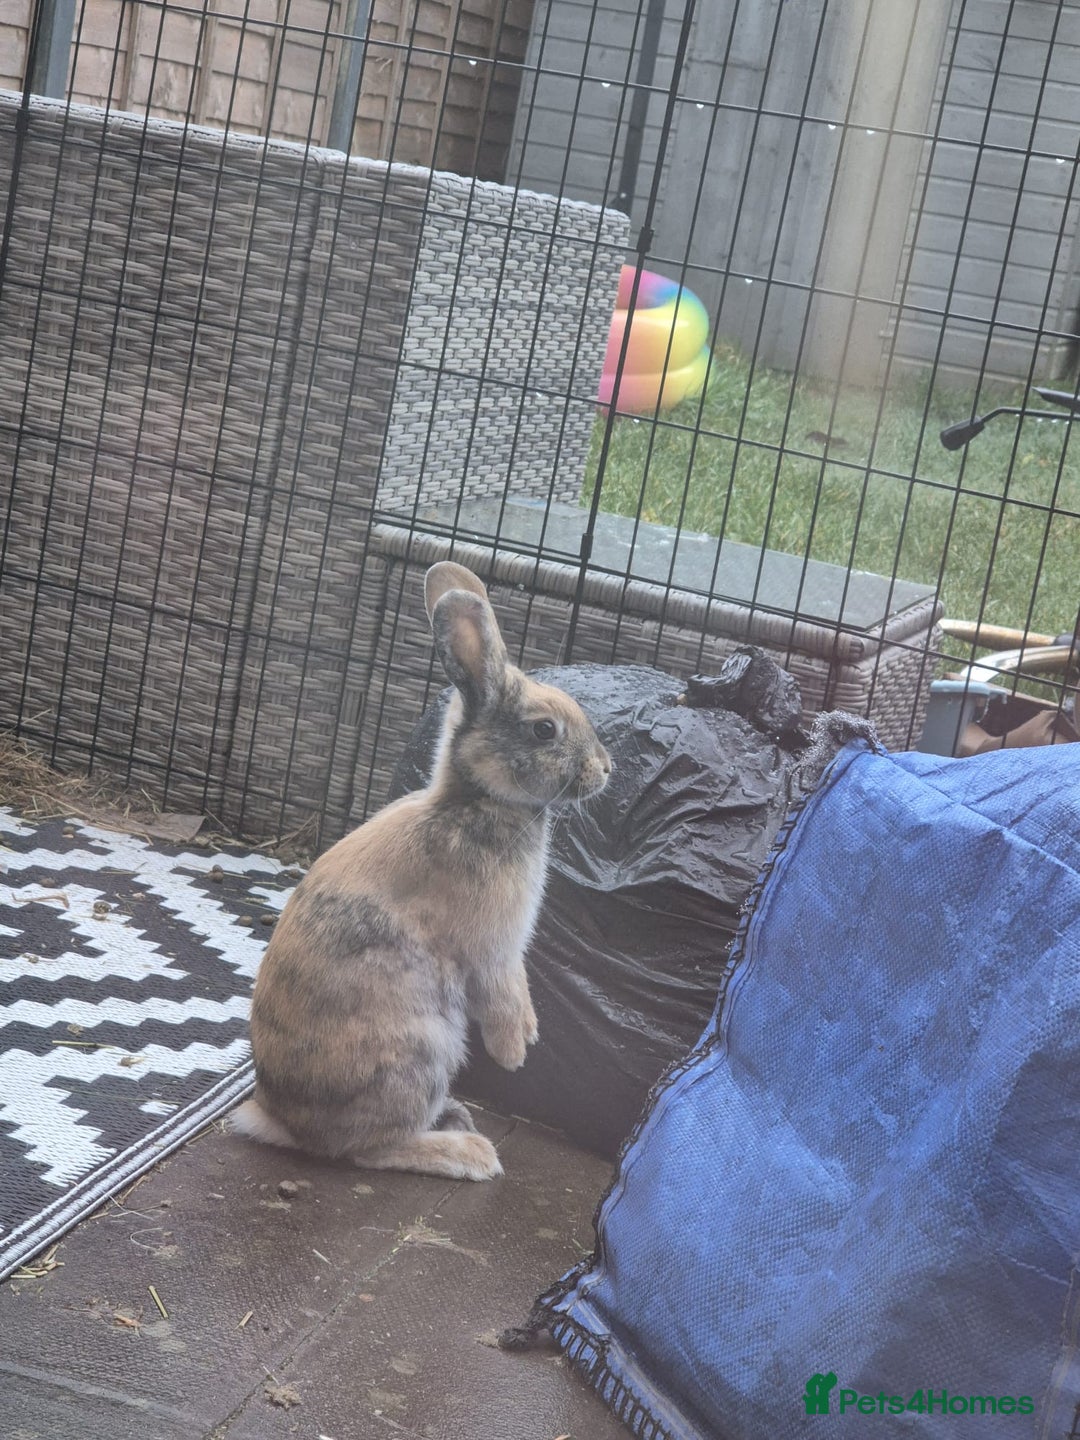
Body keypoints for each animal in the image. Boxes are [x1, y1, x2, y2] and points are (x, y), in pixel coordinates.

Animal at [231, 561, 611, 1181]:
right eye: (544, 730)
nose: (605, 769)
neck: (476, 799)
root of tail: (284, 1122)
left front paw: (530, 1034)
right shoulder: (493, 945)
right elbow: (502, 992)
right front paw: (515, 1052)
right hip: (421, 1049)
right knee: (367, 1149)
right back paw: (469, 1153)